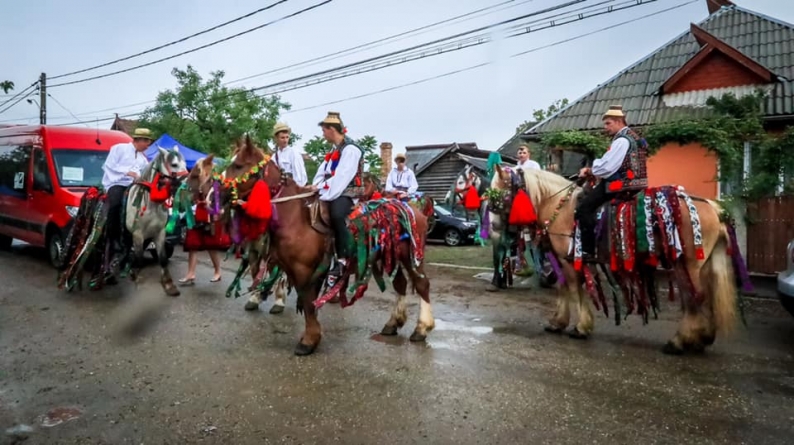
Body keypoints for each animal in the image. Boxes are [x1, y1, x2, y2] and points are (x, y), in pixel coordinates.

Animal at [124, 147, 188, 296]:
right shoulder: (138, 235)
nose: (187, 187)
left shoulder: (159, 233)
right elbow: (139, 259)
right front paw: (136, 278)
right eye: (174, 164)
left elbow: (163, 258)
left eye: (185, 164)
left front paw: (169, 284)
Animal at [223, 137, 434, 356]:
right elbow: (304, 299)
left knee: (422, 285)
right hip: (391, 256)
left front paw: (309, 340)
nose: (217, 191)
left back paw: (422, 328)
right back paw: (393, 323)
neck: (296, 218)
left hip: (411, 256)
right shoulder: (289, 267)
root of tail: (414, 210)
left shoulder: (305, 270)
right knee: (400, 284)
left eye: (238, 165)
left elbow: (308, 302)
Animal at [488, 166, 748, 354]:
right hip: (699, 264)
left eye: (499, 194)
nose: (493, 228)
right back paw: (702, 337)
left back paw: (680, 341)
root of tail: (713, 207)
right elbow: (567, 289)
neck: (560, 206)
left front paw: (580, 327)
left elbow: (573, 289)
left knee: (695, 296)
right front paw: (559, 322)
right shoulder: (567, 260)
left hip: (687, 263)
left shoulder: (568, 260)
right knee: (704, 295)